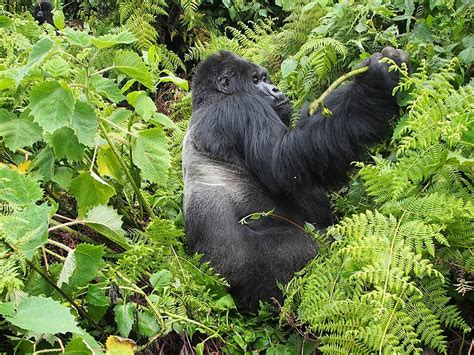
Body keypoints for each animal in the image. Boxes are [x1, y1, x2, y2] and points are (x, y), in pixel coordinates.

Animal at [183, 48, 410, 312]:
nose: (275, 89)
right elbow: (282, 161)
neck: (210, 99)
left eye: (265, 78)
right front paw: (376, 82)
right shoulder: (241, 107)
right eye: (255, 81)